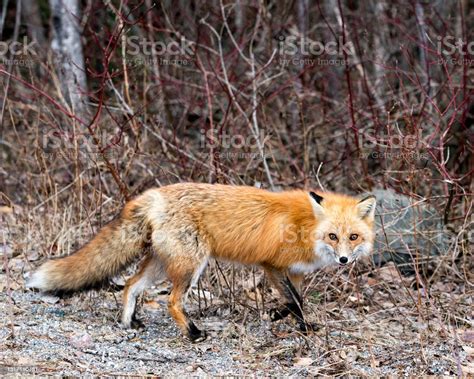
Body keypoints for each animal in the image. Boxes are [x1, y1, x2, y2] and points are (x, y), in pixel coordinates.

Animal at [26, 183, 378, 342]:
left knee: (130, 285)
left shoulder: (296, 272)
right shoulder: (272, 265)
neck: (305, 227)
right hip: (191, 266)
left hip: (160, 263)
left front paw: (283, 317)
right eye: (333, 236)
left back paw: (129, 322)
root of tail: (154, 194)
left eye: (353, 237)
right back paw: (193, 333)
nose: (344, 259)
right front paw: (302, 327)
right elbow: (296, 301)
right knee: (172, 301)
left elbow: (296, 300)